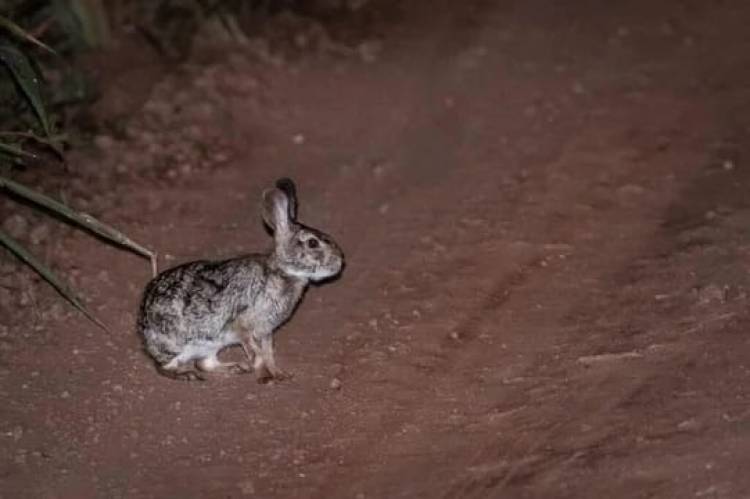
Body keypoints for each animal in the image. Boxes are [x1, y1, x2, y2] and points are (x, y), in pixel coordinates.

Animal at [137, 180, 346, 382]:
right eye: (312, 243)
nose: (339, 262)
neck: (281, 272)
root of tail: (142, 329)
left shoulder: (265, 331)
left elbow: (268, 353)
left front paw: (279, 375)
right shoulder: (242, 324)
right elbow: (257, 354)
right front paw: (265, 378)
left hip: (210, 345)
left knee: (204, 364)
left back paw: (237, 368)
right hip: (176, 344)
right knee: (164, 366)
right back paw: (187, 375)